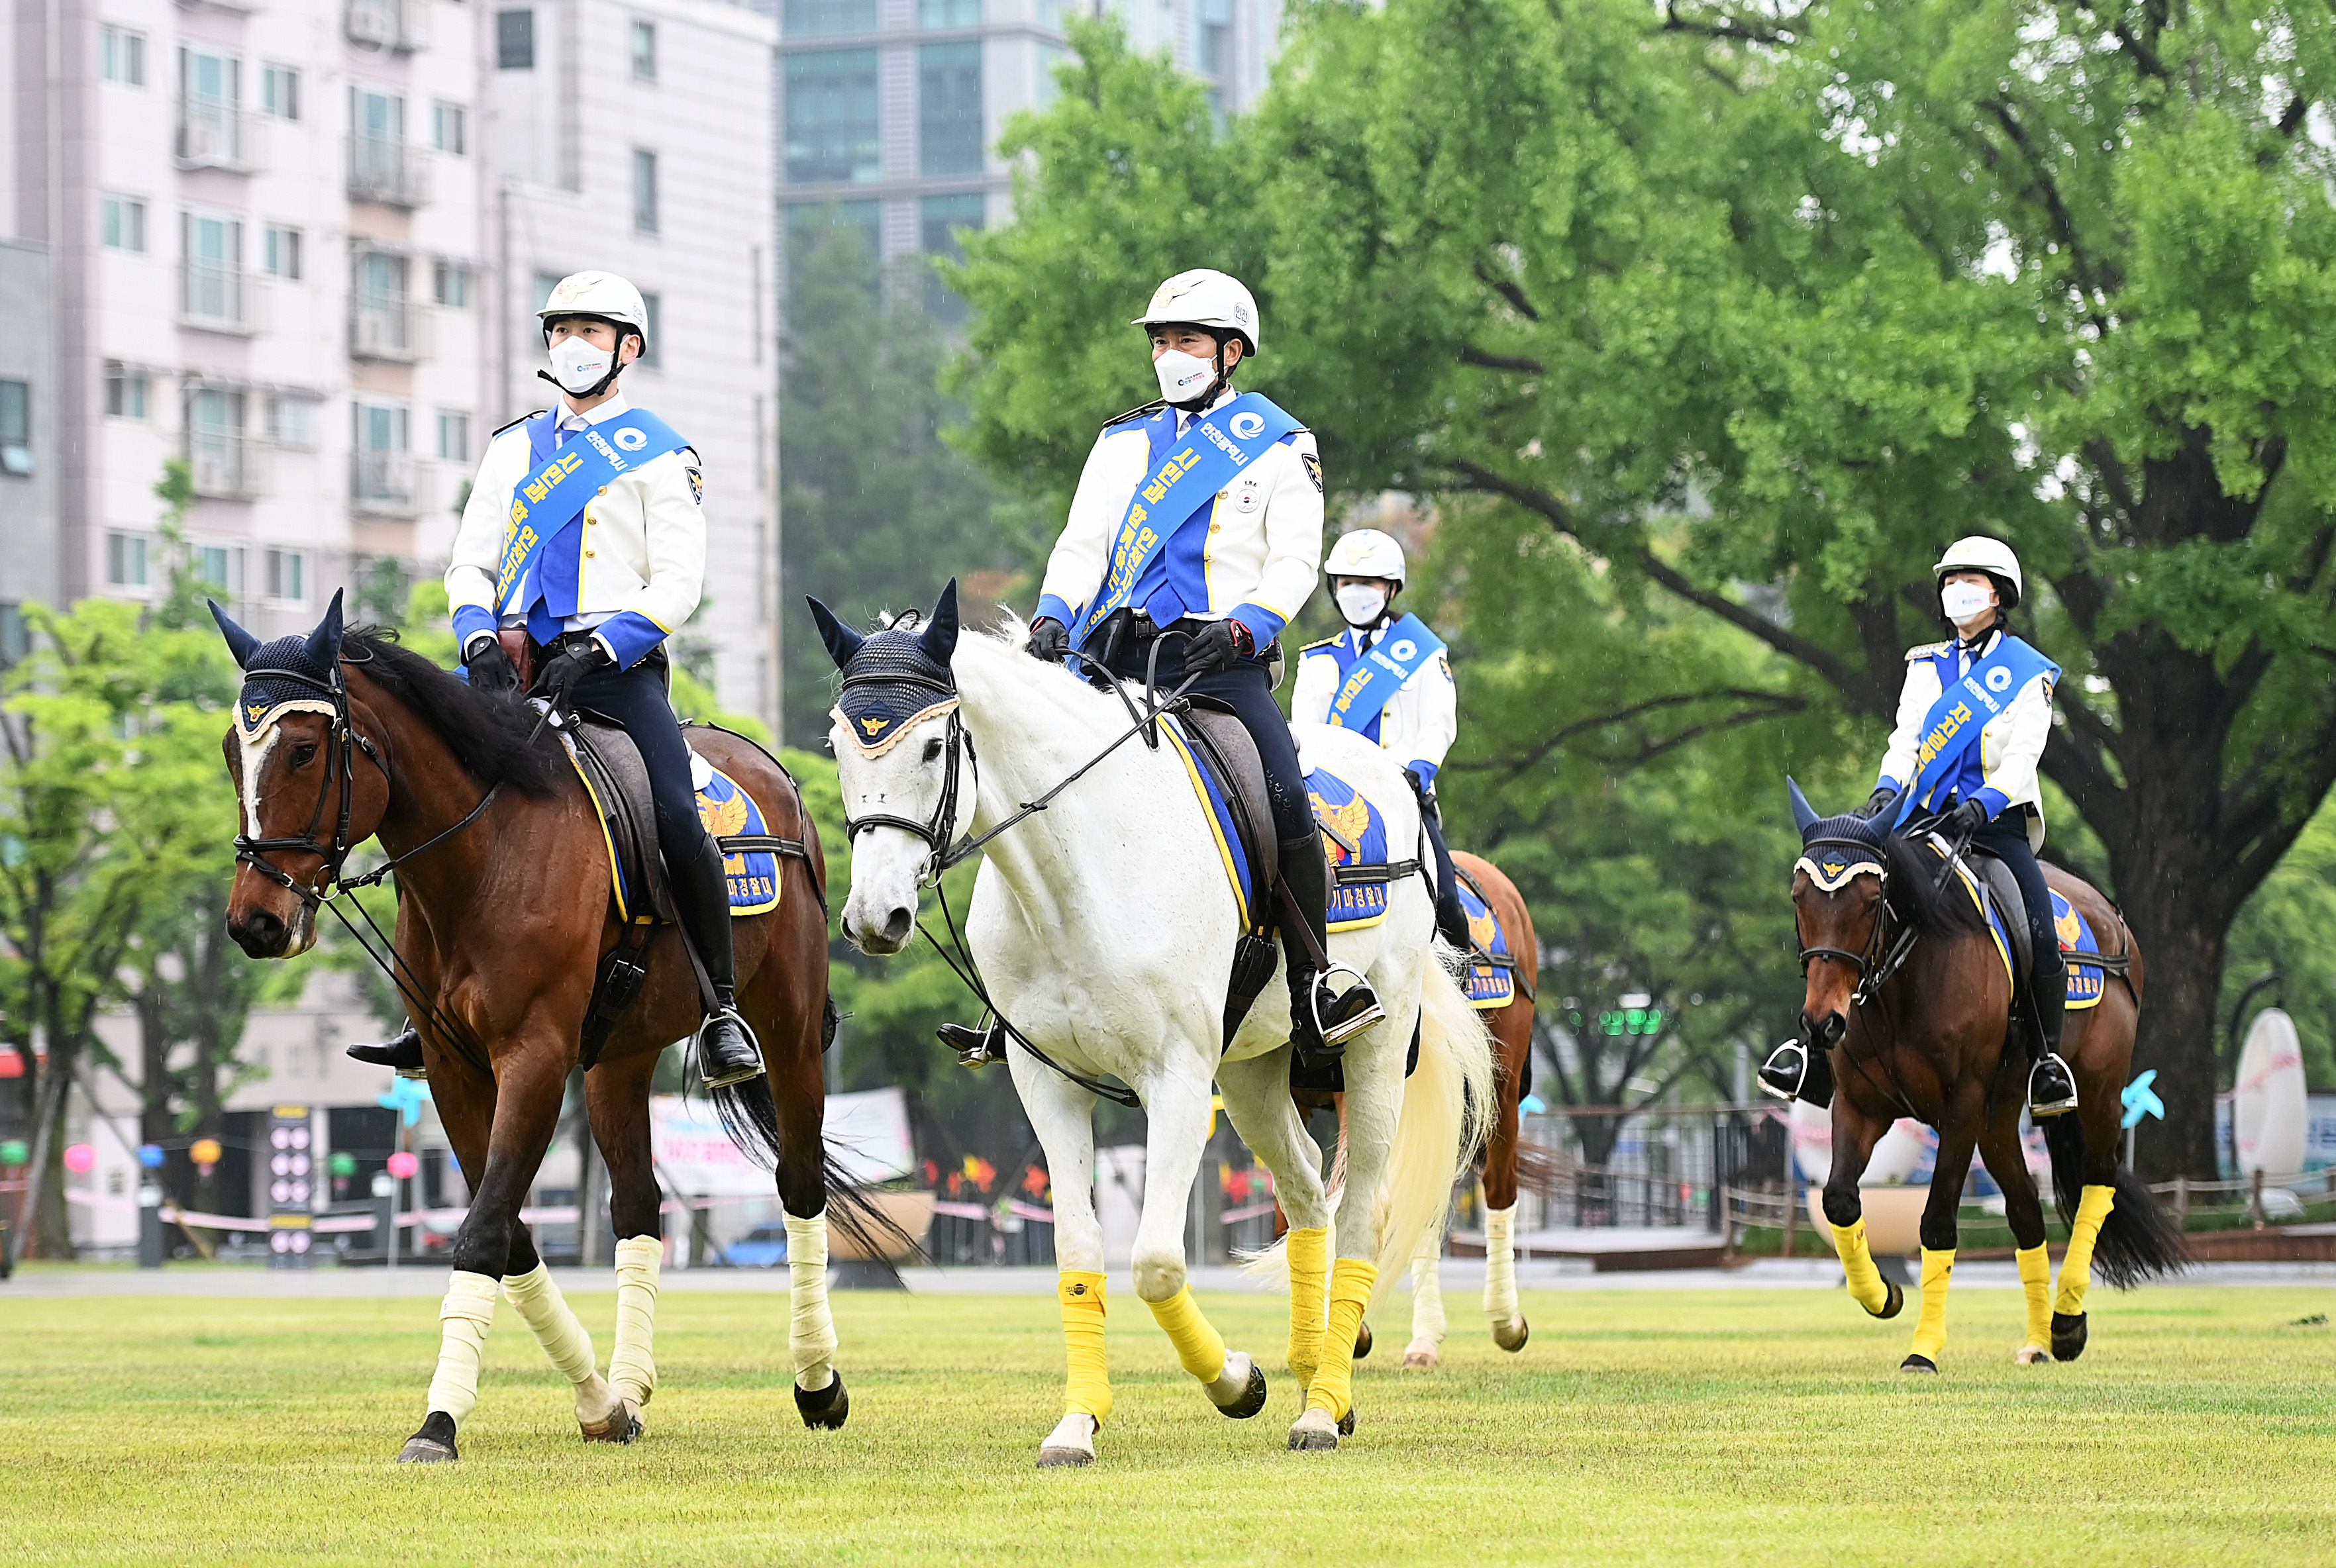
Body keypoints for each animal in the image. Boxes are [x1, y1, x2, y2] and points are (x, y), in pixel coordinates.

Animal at [212, 598, 859, 1458]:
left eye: (305, 749)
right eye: (233, 751)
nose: (255, 921)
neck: (484, 854)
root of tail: (767, 766)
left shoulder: (536, 1059)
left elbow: (484, 1229)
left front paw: (439, 1421)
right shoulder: (454, 1071)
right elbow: (509, 1230)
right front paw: (599, 1403)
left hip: (786, 1023)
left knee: (799, 1181)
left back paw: (817, 1383)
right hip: (620, 1056)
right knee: (638, 1205)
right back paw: (631, 1383)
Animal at [813, 586, 1486, 1458]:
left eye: (932, 746)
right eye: (837, 746)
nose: (874, 915)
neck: (1079, 869)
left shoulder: (1177, 1081)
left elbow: (1157, 1262)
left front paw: (1235, 1381)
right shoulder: (1048, 1081)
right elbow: (1077, 1252)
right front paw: (1077, 1422)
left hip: (1374, 1043)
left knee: (1362, 1213)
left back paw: (1320, 1404)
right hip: (1250, 1072)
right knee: (1307, 1191)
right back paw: (1314, 1374)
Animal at [1794, 785, 2177, 1374]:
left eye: (1868, 902)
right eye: (1798, 899)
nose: (1821, 1023)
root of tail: (2111, 920)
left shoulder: (1962, 1107)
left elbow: (1936, 1222)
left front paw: (1922, 1350)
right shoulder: (1860, 1106)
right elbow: (1838, 1201)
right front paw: (1883, 1296)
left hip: (2098, 1092)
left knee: (2098, 1185)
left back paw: (2066, 1321)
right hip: (1998, 1124)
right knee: (2026, 1213)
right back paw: (2040, 1340)